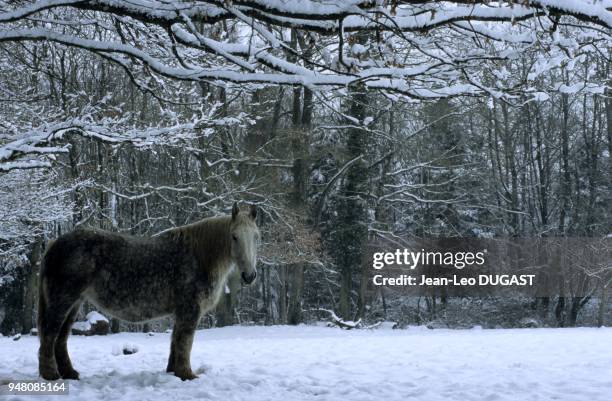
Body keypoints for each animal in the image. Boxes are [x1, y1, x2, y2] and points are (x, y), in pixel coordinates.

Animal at [38, 202, 258, 380]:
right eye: (234, 237)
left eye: (256, 236)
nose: (249, 275)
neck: (200, 258)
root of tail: (54, 244)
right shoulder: (190, 310)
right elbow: (185, 343)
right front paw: (187, 374)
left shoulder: (181, 312)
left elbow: (175, 342)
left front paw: (173, 372)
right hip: (63, 300)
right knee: (50, 334)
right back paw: (51, 375)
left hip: (75, 303)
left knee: (61, 337)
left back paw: (69, 373)